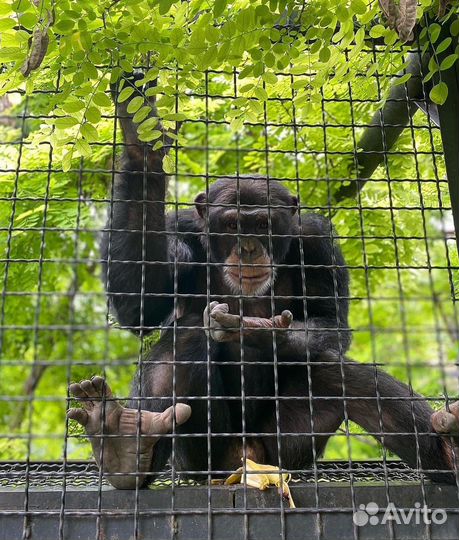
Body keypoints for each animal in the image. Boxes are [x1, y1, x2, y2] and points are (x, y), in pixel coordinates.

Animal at [68, 75, 459, 490]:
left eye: (262, 224)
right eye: (232, 225)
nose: (249, 246)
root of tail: (245, 462)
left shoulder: (316, 241)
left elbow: (330, 320)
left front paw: (259, 332)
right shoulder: (181, 229)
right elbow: (140, 307)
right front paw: (141, 138)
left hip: (287, 450)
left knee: (334, 370)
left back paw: (447, 452)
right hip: (200, 458)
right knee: (186, 335)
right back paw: (123, 449)